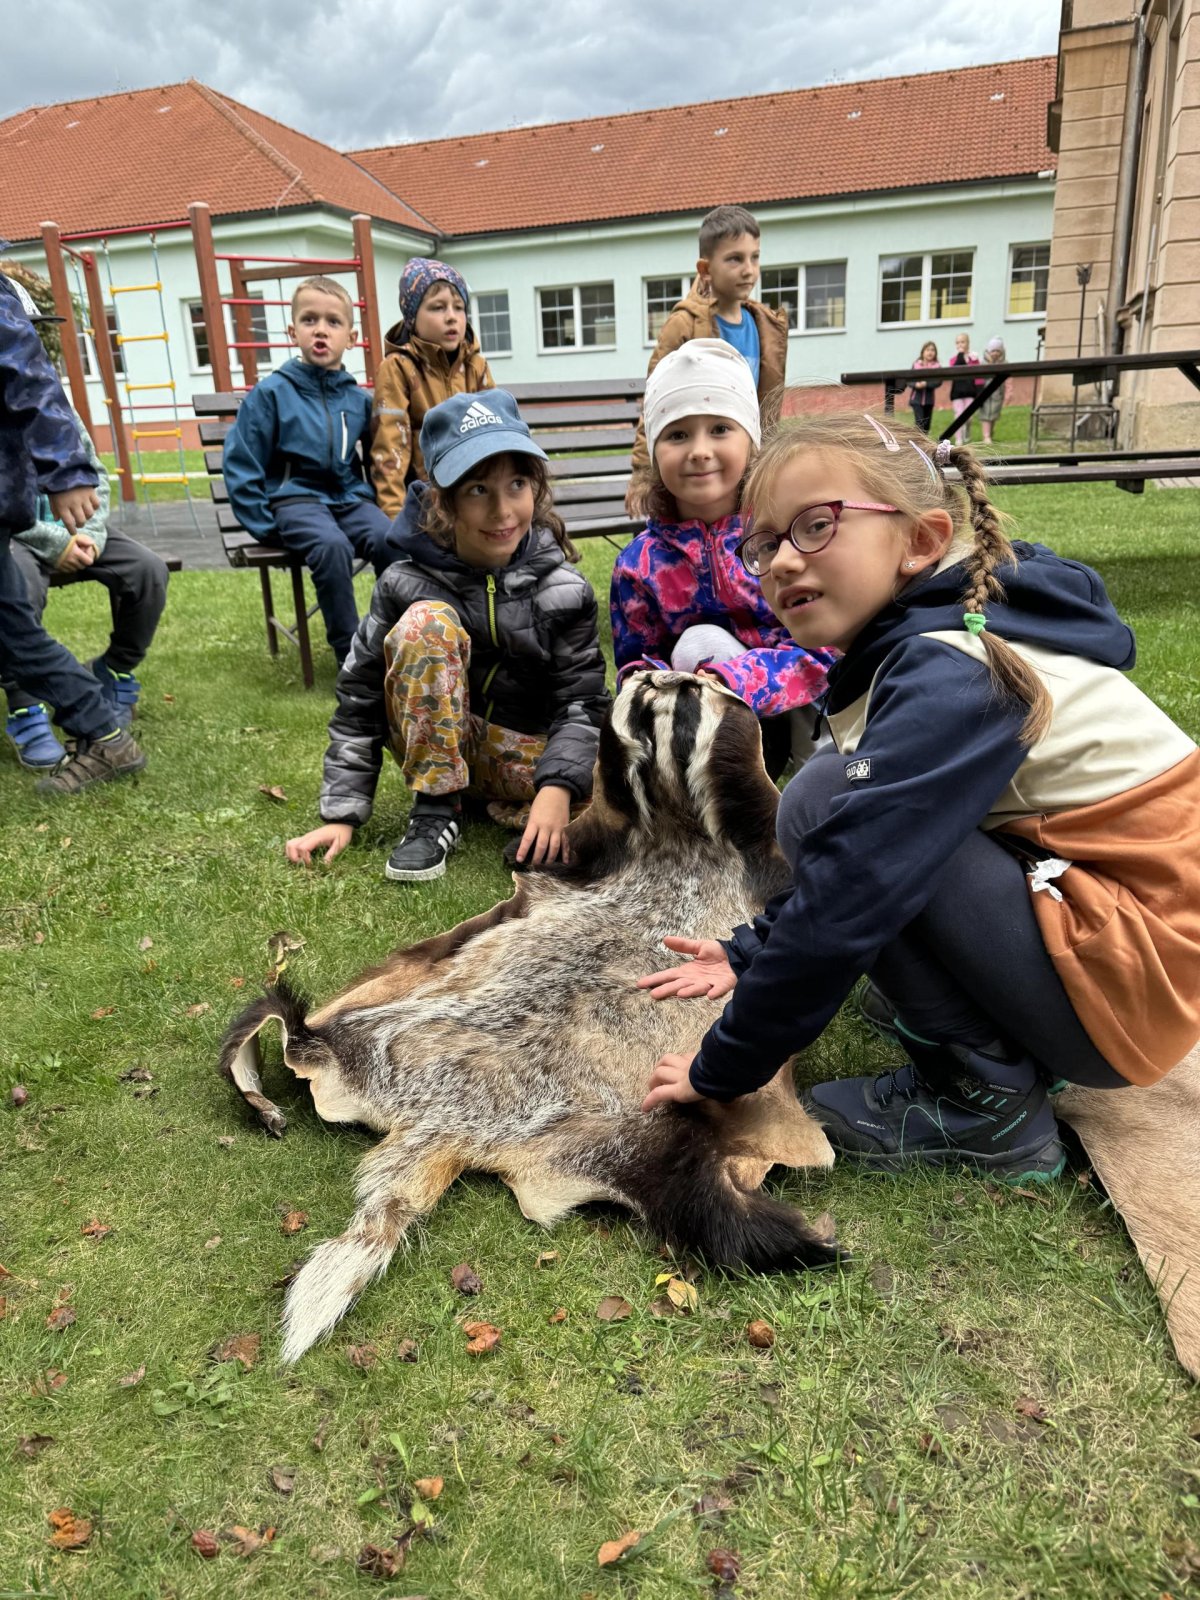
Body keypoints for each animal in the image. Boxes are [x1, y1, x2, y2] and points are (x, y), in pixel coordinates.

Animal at [220, 671, 837, 1362]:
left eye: (697, 694)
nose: (653, 674)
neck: (677, 825)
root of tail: (445, 1123)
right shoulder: (604, 857)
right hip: (637, 1129)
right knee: (711, 1210)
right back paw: (807, 1237)